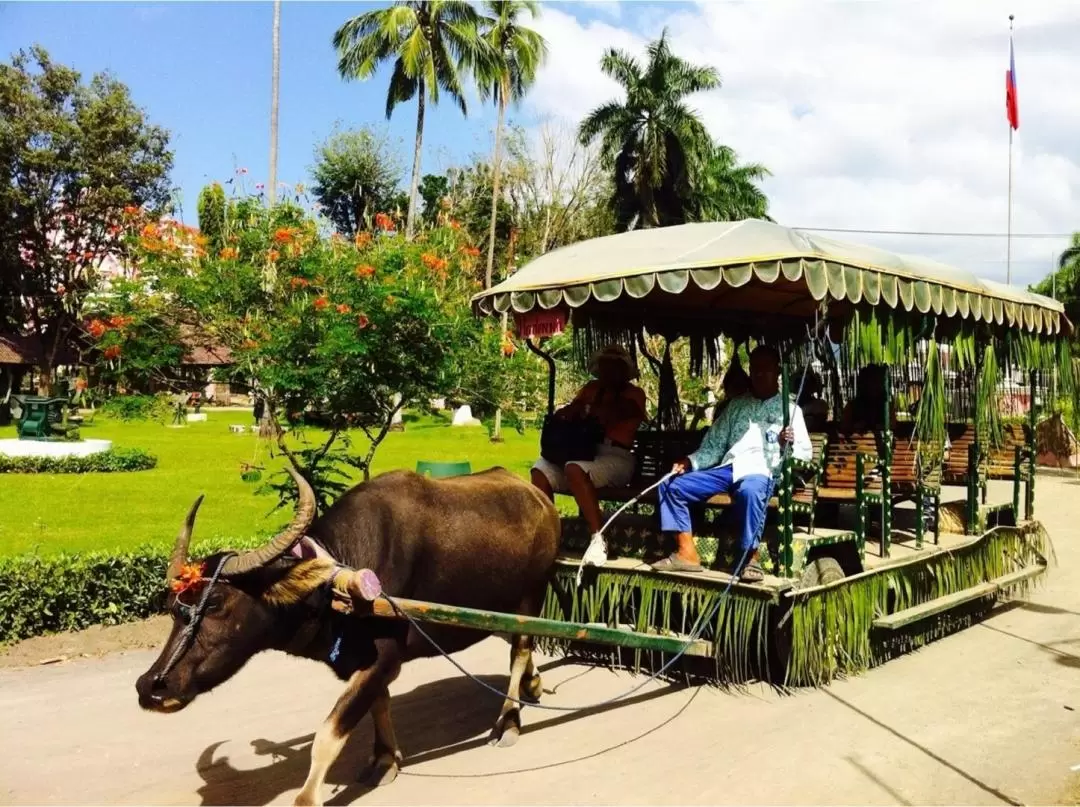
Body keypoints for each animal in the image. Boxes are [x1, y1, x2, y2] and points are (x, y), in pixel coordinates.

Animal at [135, 466, 561, 807]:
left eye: (216, 602)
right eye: (172, 605)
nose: (151, 687)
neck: (336, 582)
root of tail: (541, 499)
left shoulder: (382, 658)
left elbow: (329, 732)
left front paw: (309, 798)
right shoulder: (367, 661)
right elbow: (379, 704)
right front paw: (385, 759)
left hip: (531, 597)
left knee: (520, 650)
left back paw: (508, 722)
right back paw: (534, 685)